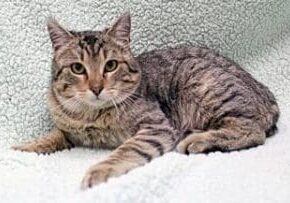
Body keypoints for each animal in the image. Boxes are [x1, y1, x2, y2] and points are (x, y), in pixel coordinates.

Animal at [12, 13, 280, 189]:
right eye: (77, 68)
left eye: (111, 65)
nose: (97, 88)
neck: (91, 115)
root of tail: (268, 96)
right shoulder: (68, 130)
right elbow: (51, 137)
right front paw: (24, 147)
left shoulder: (156, 126)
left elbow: (127, 150)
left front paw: (100, 170)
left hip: (205, 85)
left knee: (252, 131)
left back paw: (198, 140)